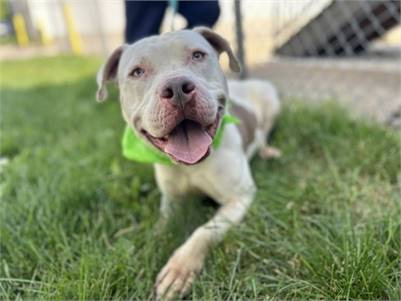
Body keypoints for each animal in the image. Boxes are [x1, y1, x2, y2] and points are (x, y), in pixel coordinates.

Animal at [95, 27, 280, 298]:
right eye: (137, 72)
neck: (190, 166)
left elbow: (204, 232)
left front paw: (180, 268)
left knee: (264, 130)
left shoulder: (239, 198)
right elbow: (162, 225)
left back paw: (267, 150)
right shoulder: (171, 199)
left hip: (271, 97)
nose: (177, 87)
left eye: (197, 55)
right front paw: (151, 242)